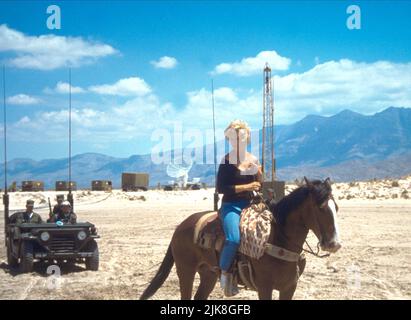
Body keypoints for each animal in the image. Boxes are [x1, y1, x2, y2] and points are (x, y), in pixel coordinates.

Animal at [141, 178, 342, 300]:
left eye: (337, 208)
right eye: (320, 208)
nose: (334, 244)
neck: (278, 240)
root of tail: (181, 226)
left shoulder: (289, 287)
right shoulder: (264, 287)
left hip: (208, 274)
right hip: (185, 270)